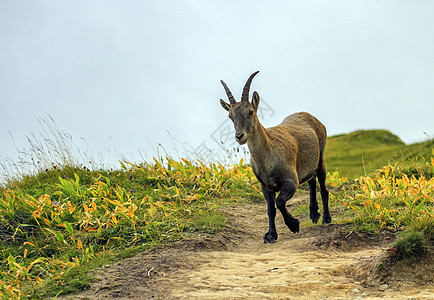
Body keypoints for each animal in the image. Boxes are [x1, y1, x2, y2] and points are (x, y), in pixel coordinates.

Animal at [220, 71, 332, 244]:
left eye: (250, 111)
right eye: (230, 115)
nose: (239, 136)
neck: (268, 156)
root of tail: (311, 117)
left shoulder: (291, 181)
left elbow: (279, 202)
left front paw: (294, 225)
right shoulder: (265, 186)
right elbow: (270, 209)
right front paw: (271, 235)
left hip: (321, 158)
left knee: (323, 188)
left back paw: (326, 218)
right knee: (312, 181)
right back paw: (314, 214)